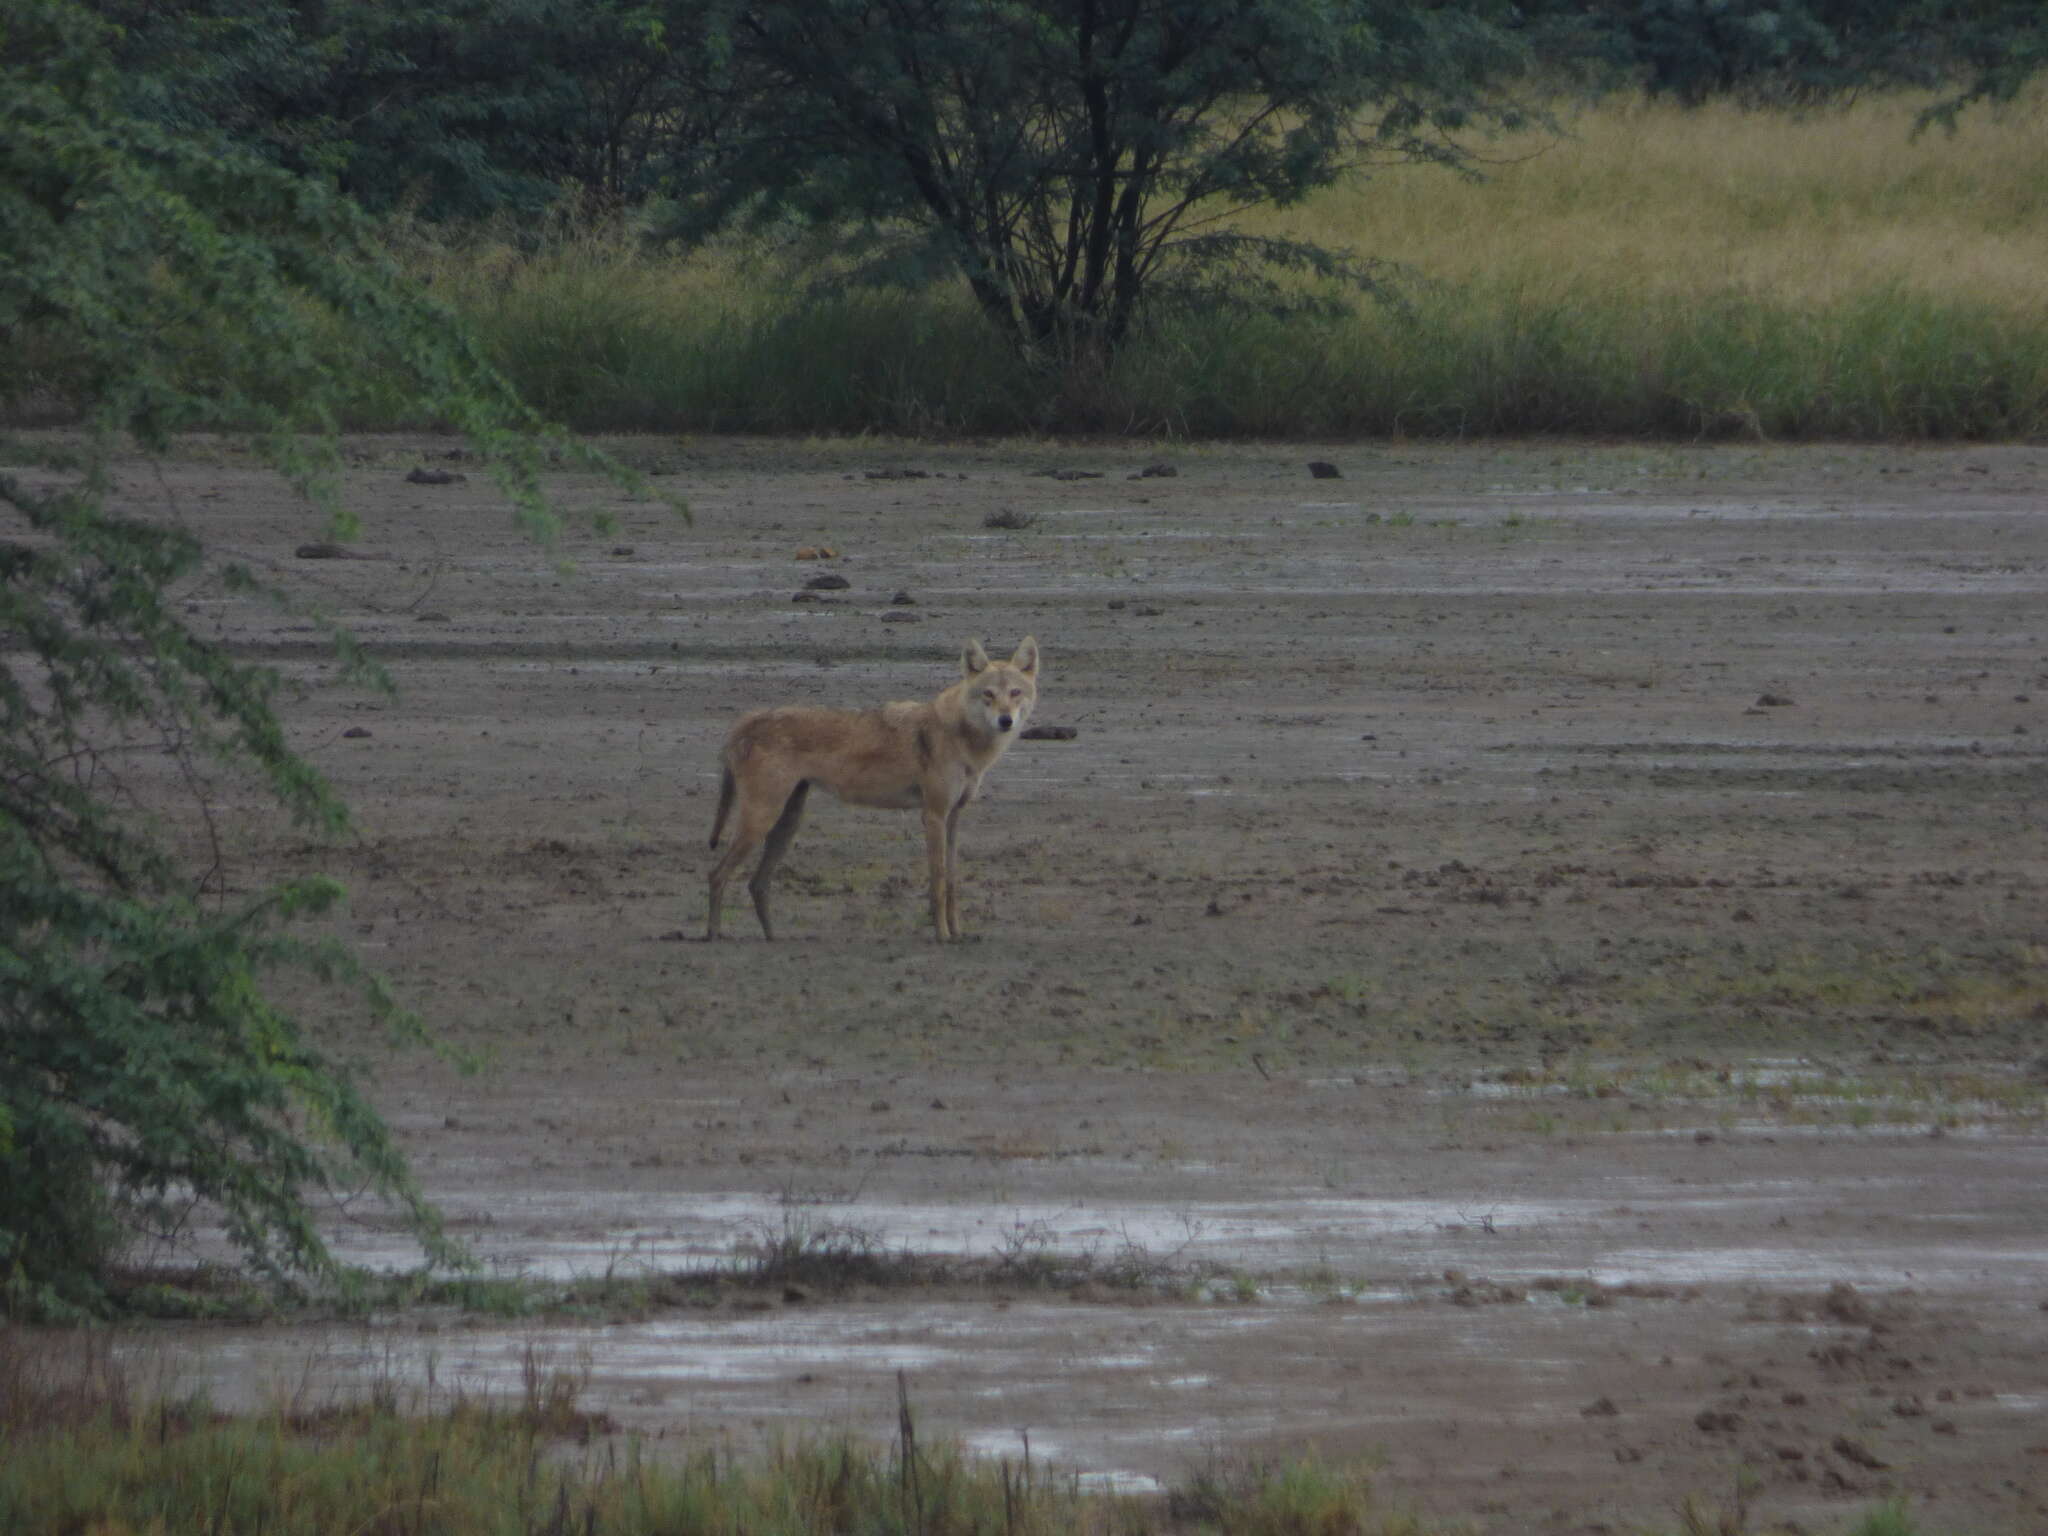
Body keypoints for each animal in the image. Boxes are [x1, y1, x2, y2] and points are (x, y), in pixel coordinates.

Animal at [712, 638, 1048, 937]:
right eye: (988, 694)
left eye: (1015, 693)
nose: (1005, 720)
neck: (961, 737)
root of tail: (748, 720)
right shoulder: (933, 815)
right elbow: (938, 881)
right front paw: (941, 935)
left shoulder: (954, 817)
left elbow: (952, 881)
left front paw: (958, 933)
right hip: (760, 821)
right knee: (716, 875)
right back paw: (711, 935)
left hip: (786, 823)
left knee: (755, 883)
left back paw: (773, 937)